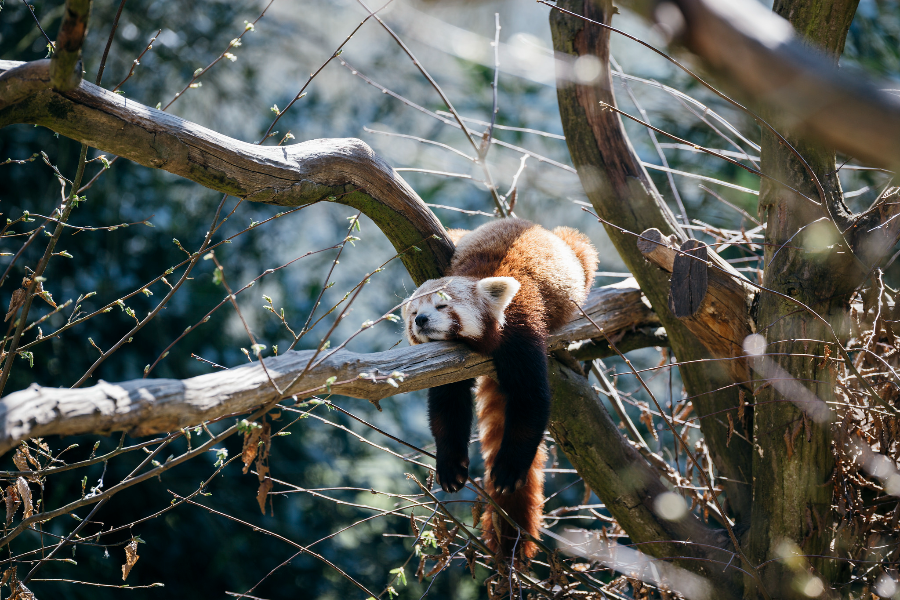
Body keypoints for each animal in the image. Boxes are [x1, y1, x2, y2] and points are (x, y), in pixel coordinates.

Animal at [402, 218, 596, 560]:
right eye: (413, 313)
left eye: (442, 305)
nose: (421, 320)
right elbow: (447, 406)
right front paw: (450, 465)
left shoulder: (522, 331)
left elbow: (530, 400)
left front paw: (508, 471)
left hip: (578, 253)